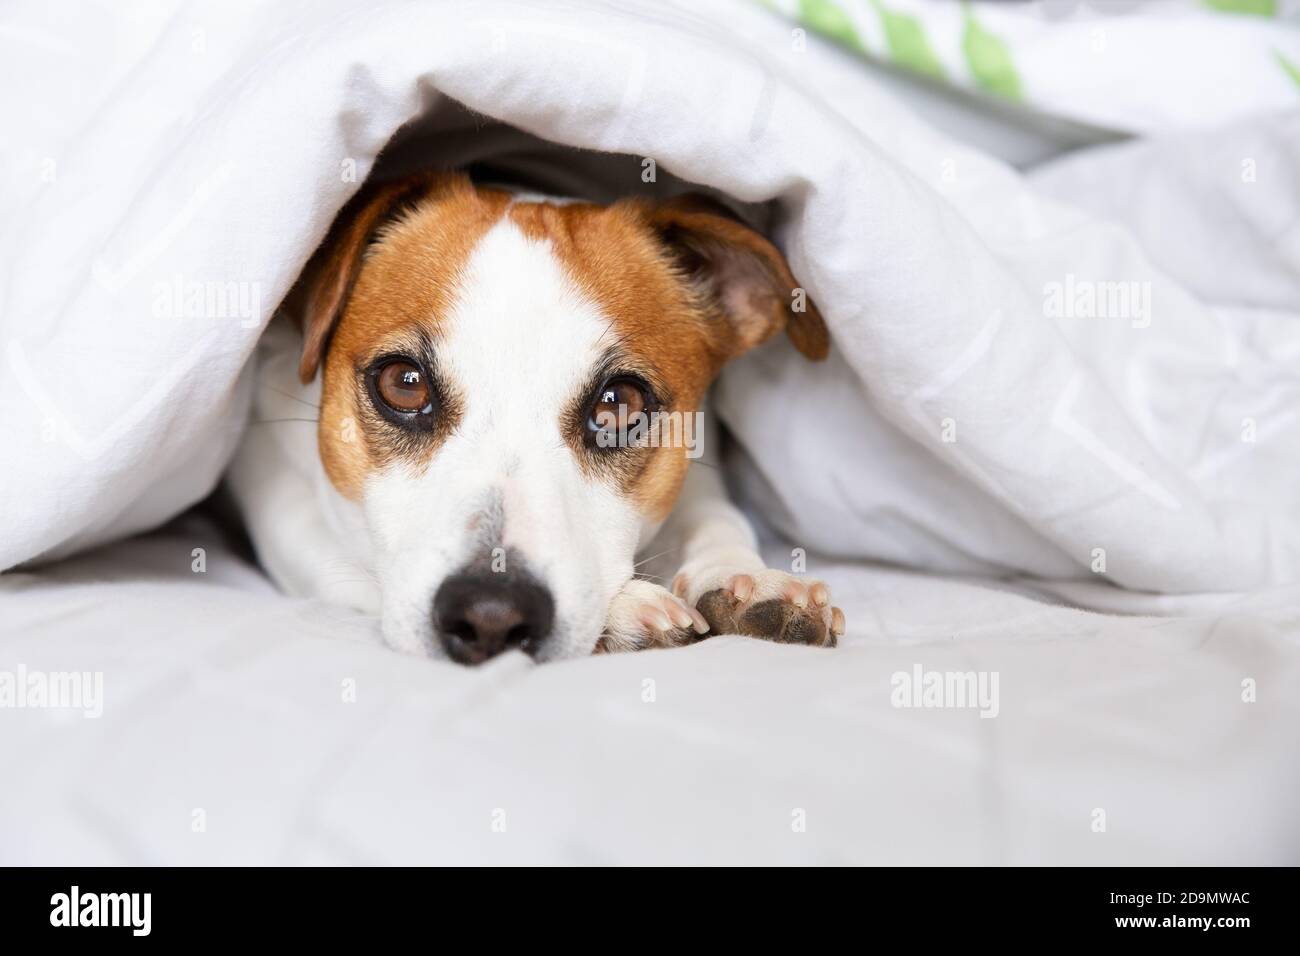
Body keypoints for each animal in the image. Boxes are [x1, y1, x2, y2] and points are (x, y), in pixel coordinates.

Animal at [230, 171, 847, 660]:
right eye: (404, 384)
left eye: (618, 404)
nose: (490, 615)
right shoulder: (280, 494)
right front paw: (622, 609)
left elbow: (714, 514)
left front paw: (747, 577)